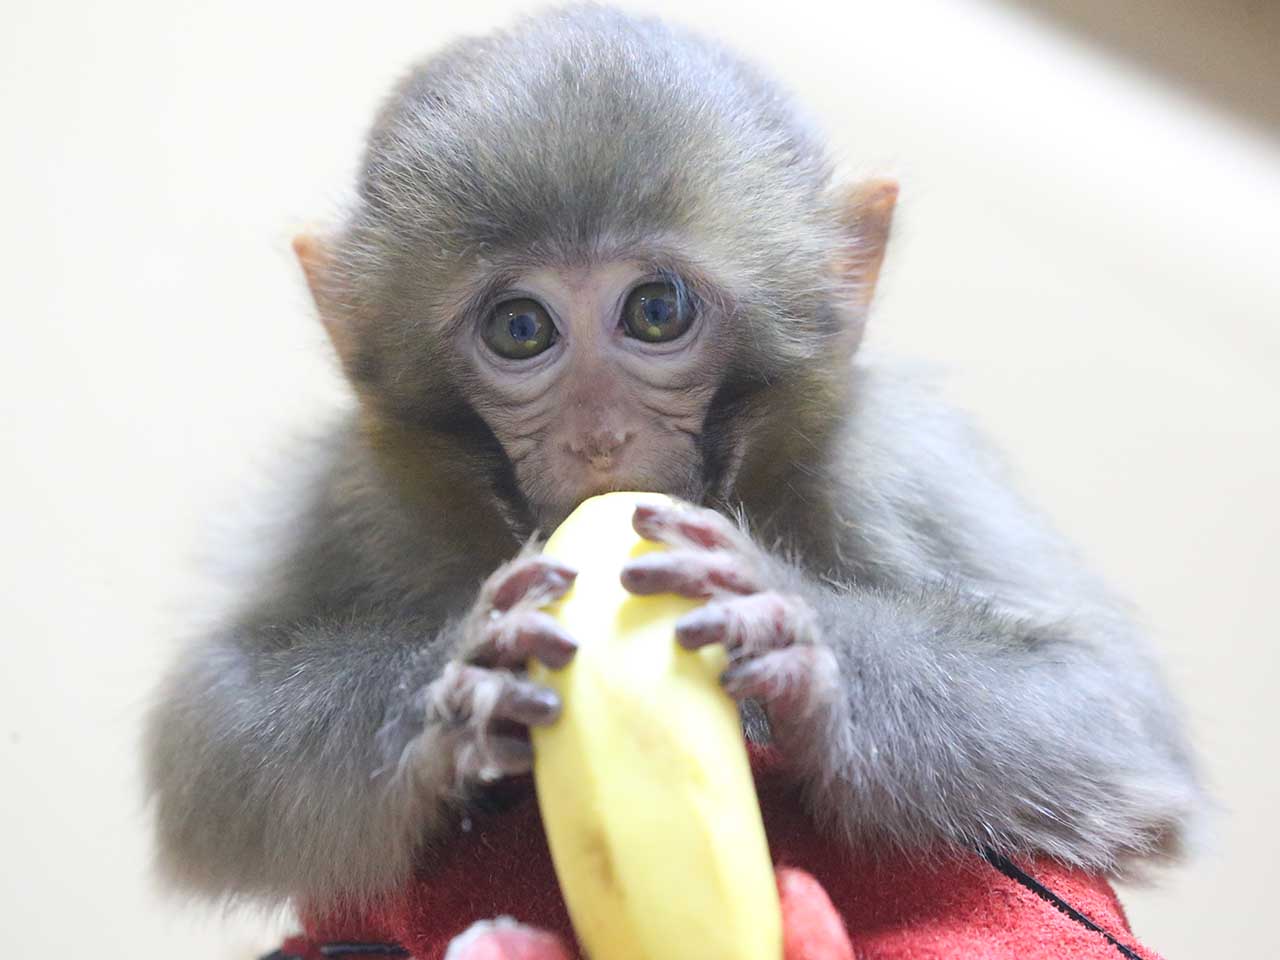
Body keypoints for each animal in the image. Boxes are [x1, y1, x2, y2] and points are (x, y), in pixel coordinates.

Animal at [147, 3, 1198, 926]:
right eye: (521, 329)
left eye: (656, 312)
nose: (599, 436)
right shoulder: (361, 488)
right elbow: (207, 733)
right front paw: (461, 682)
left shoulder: (890, 461)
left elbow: (1109, 704)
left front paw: (795, 632)